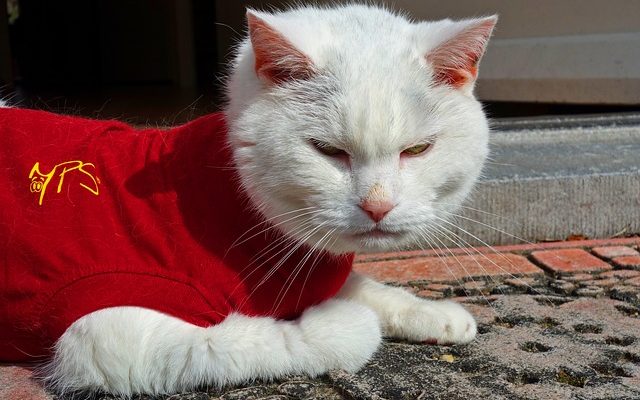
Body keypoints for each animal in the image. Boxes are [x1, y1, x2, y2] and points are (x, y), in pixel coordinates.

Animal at [1, 3, 496, 396]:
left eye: (418, 150)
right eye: (327, 150)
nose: (378, 206)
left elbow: (367, 286)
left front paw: (433, 313)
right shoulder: (111, 339)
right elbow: (263, 341)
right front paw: (345, 321)